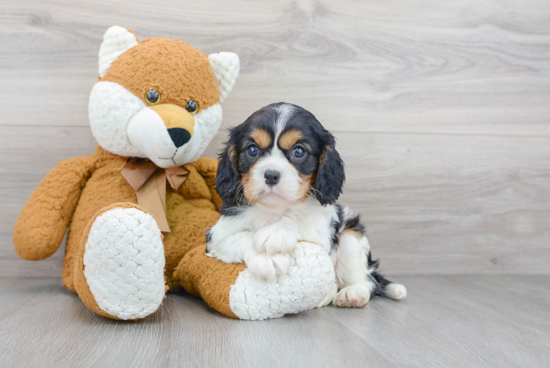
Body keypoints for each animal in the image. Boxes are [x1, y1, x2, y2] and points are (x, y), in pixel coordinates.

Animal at [207, 102, 406, 306]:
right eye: (252, 149)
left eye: (298, 151)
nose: (271, 175)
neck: (275, 209)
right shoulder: (217, 236)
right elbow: (240, 237)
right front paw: (266, 259)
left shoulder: (321, 233)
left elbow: (296, 221)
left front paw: (276, 232)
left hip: (351, 237)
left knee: (368, 282)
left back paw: (353, 294)